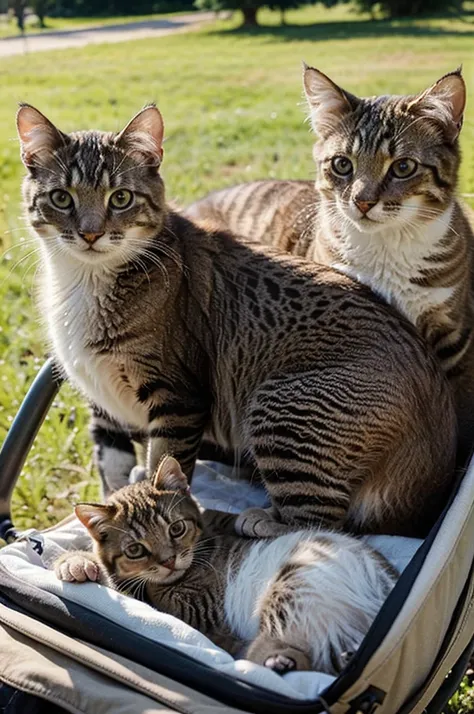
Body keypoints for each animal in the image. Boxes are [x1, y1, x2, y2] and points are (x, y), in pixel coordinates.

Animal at [17, 100, 456, 536]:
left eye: (121, 197)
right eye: (61, 198)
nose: (90, 234)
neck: (85, 280)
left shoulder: (179, 399)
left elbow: (164, 468)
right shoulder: (104, 404)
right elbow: (112, 467)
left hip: (280, 404)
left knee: (321, 525)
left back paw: (258, 520)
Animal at [53, 456, 398, 672]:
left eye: (176, 529)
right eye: (136, 549)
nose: (169, 561)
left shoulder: (194, 608)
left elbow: (137, 592)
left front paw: (84, 565)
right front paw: (76, 562)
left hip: (290, 584)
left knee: (271, 652)